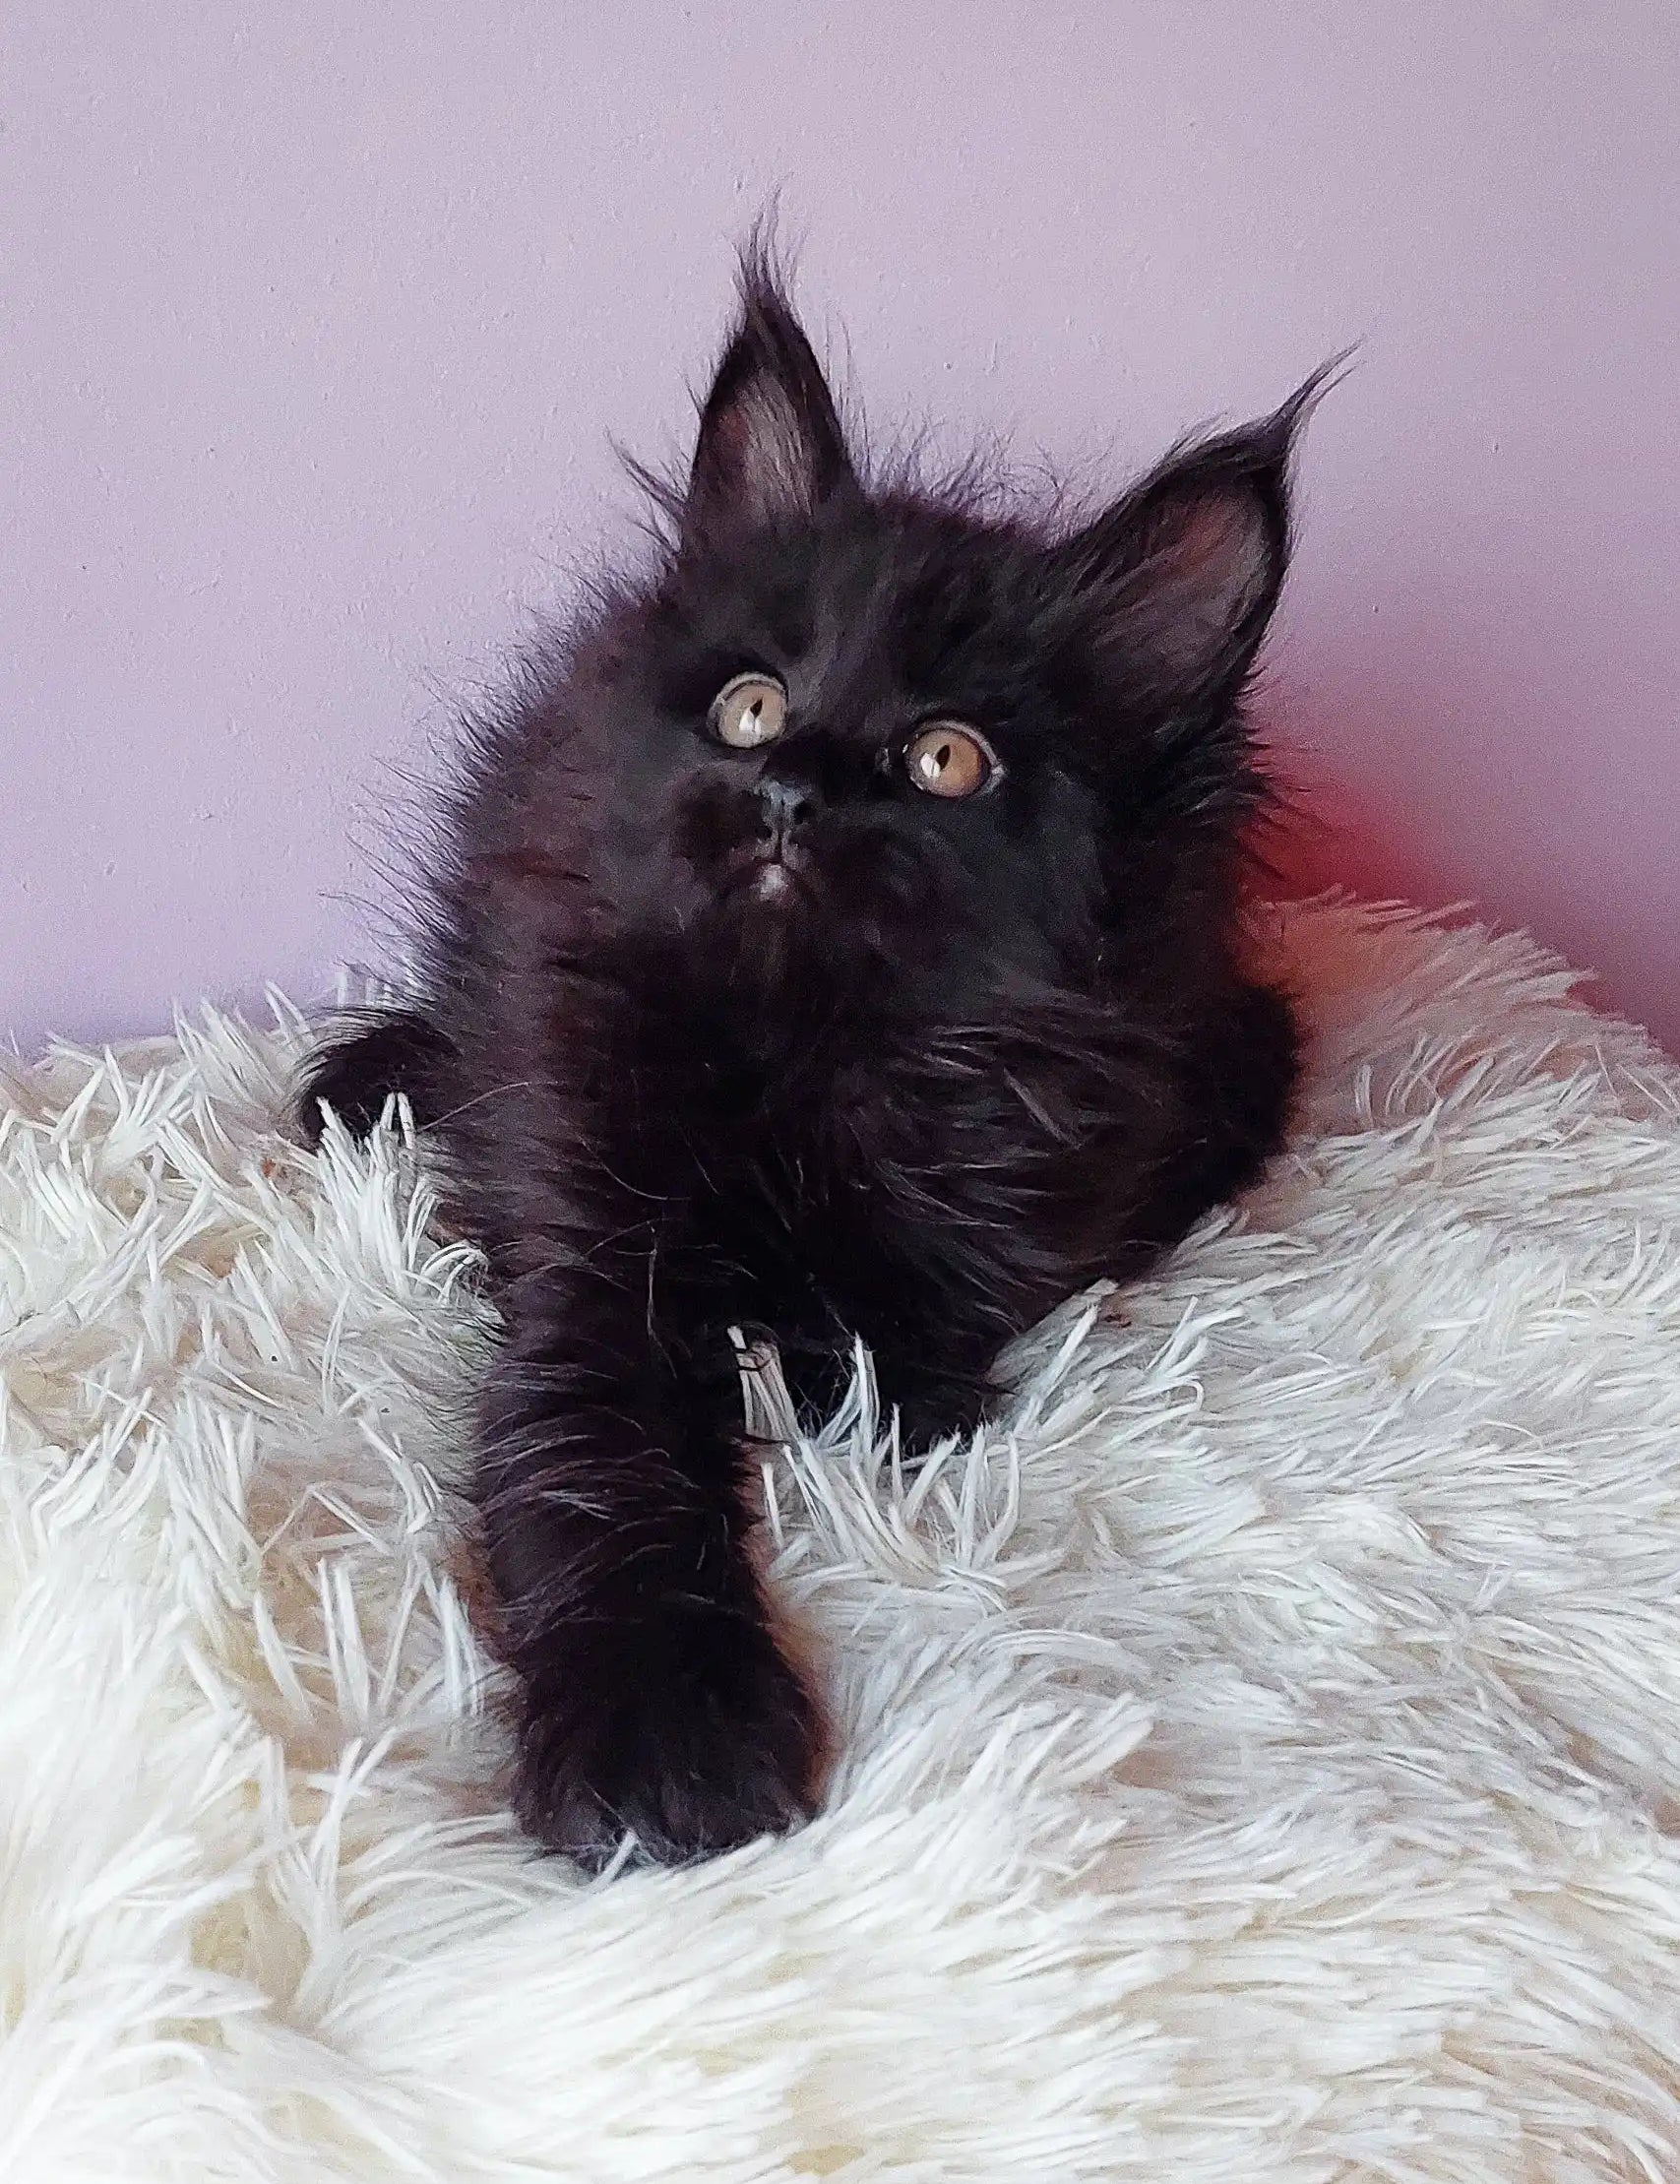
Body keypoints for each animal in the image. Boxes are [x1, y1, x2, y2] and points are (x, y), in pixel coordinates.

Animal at [307, 251, 1319, 1860]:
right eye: (754, 705)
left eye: (946, 757)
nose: (785, 787)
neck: (802, 1051)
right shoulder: (592, 1219)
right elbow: (598, 1453)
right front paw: (665, 1734)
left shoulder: (1080, 1145)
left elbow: (913, 1353)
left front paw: (809, 1363)